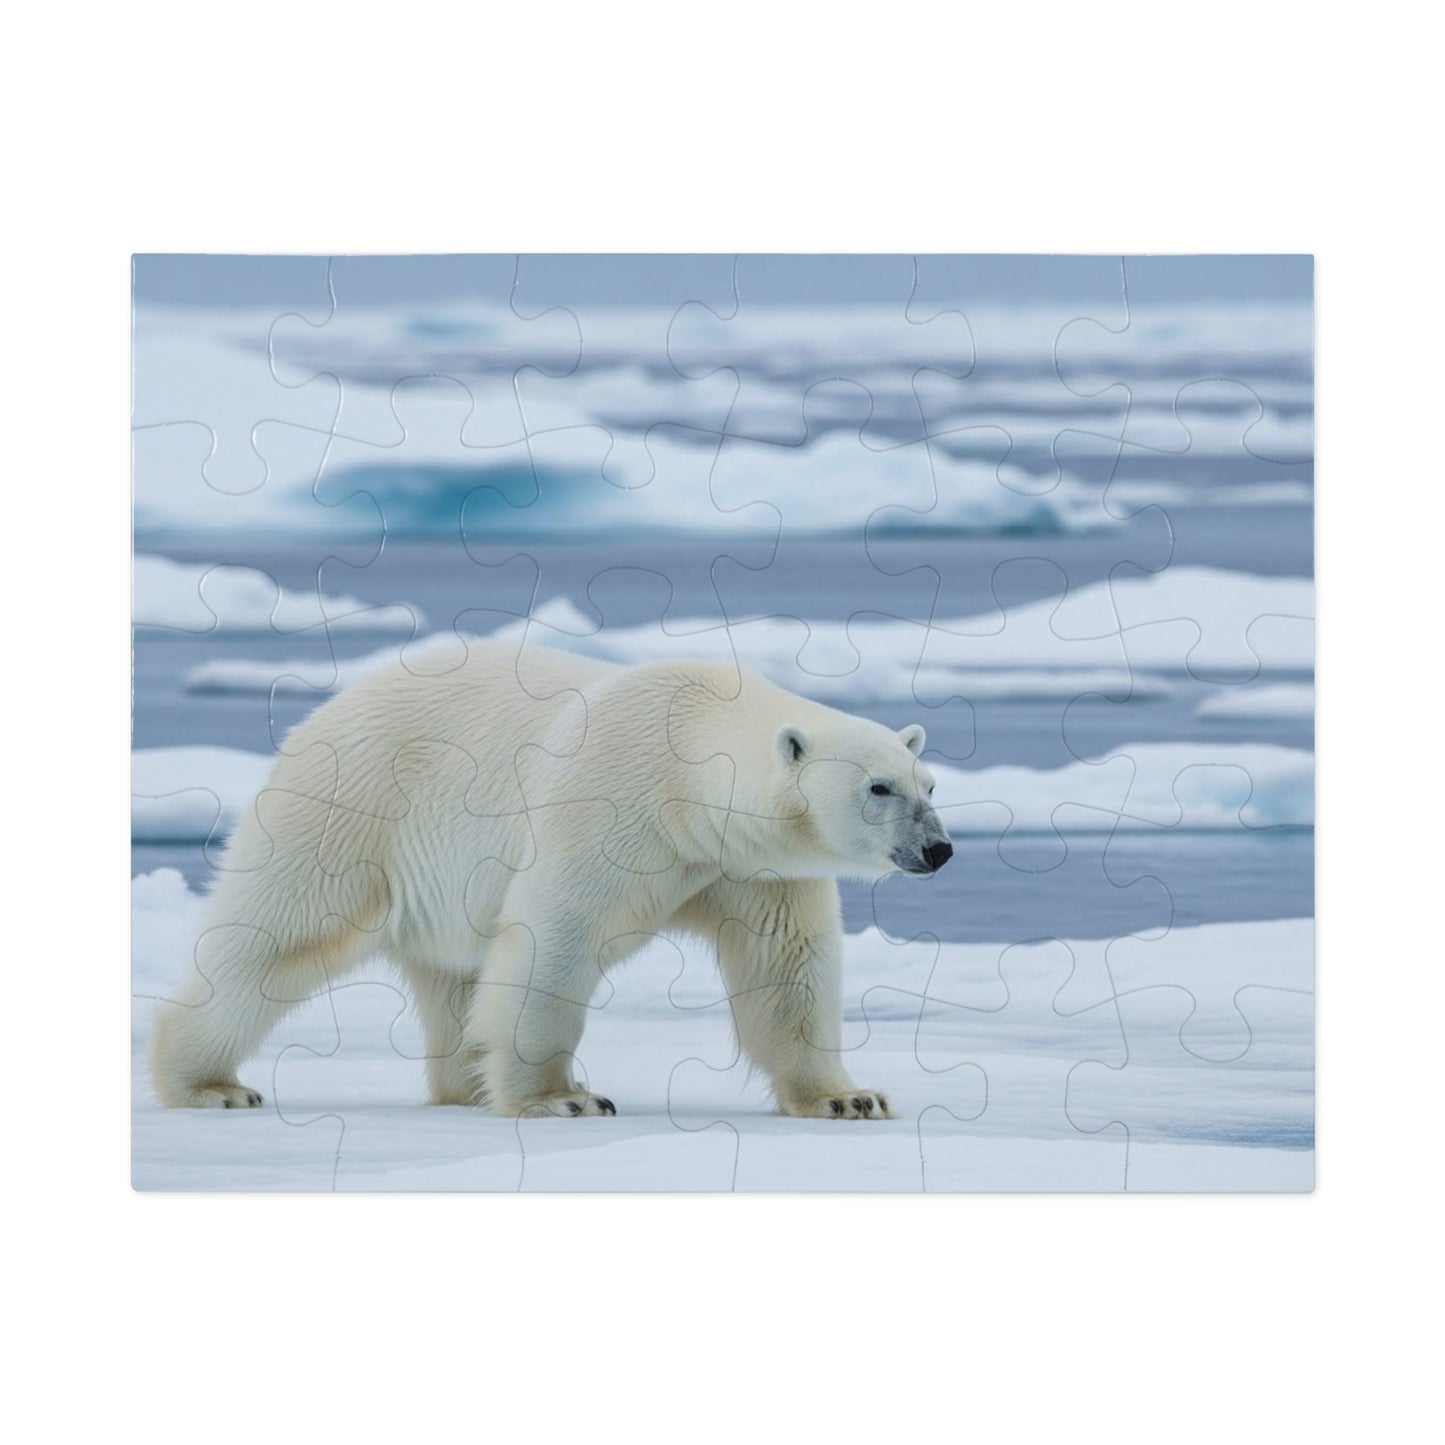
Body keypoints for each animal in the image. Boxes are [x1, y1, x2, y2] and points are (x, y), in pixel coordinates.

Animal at [150, 639, 953, 1119]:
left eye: (929, 782)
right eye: (879, 787)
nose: (939, 848)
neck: (688, 770)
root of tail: (322, 712)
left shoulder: (748, 864)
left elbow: (786, 969)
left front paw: (849, 1099)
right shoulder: (611, 803)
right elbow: (554, 941)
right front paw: (561, 1097)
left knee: (454, 977)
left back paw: (465, 1085)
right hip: (349, 814)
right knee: (272, 941)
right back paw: (209, 1083)